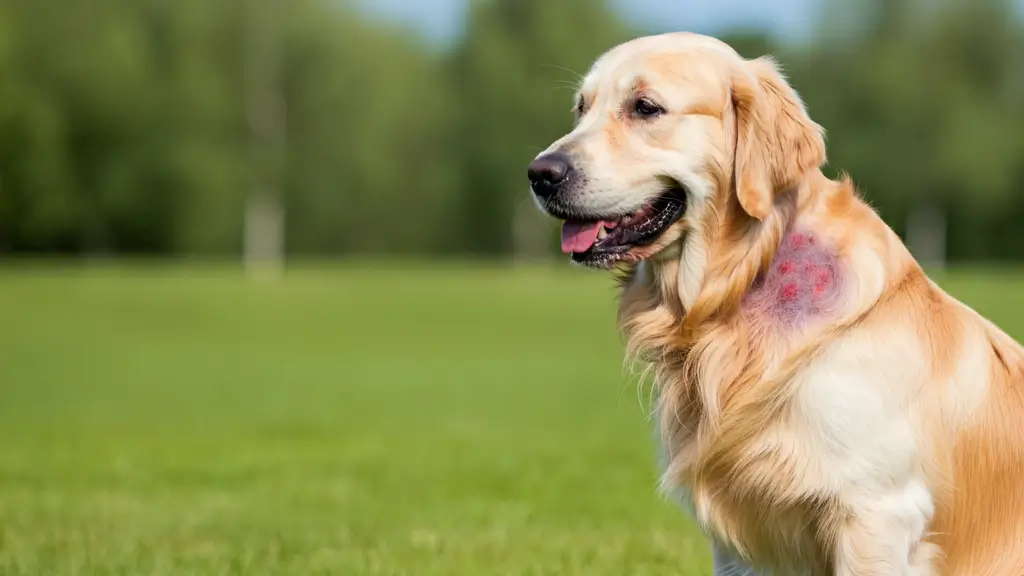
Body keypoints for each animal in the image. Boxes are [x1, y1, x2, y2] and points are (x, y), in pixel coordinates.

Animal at [532, 32, 1024, 573]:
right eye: (581, 108)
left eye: (645, 107)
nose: (540, 174)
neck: (743, 285)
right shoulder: (735, 542)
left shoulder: (877, 511)